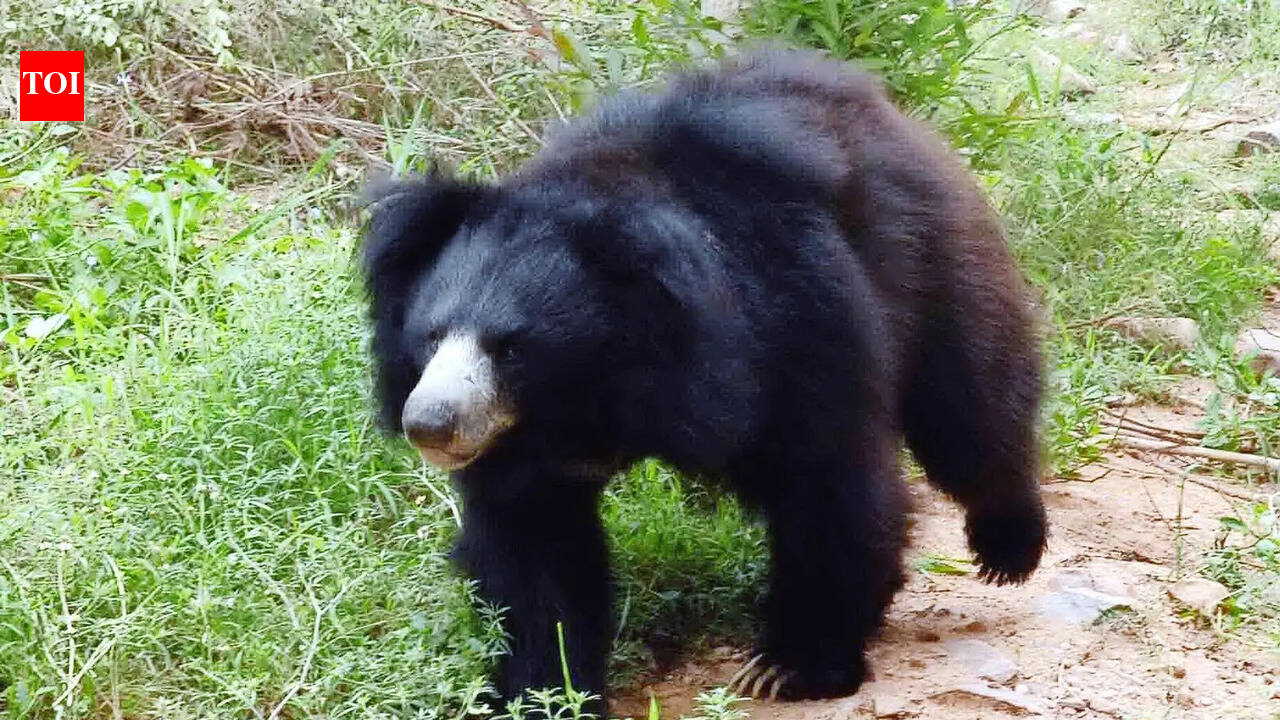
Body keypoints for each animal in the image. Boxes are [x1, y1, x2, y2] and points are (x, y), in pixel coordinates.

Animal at [360, 50, 1047, 709]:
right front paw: (543, 694)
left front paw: (789, 667)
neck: (593, 395)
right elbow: (532, 545)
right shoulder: (521, 447)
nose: (429, 423)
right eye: (431, 337)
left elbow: (828, 478)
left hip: (931, 257)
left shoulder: (797, 323)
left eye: (510, 348)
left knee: (969, 404)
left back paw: (1008, 546)